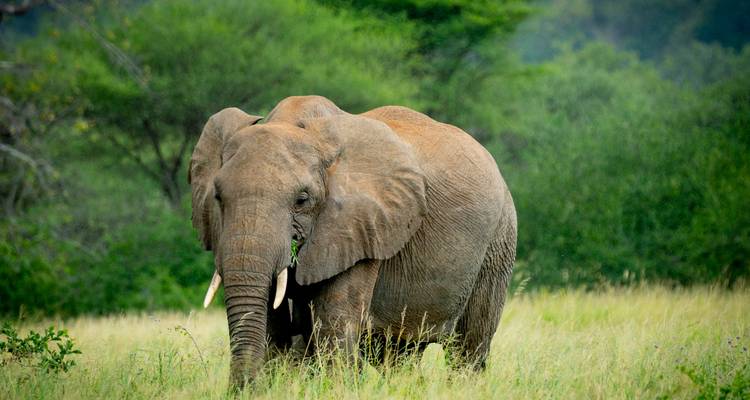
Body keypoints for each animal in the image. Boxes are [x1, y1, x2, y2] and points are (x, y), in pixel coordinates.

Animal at [189, 95, 517, 388]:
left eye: (302, 200)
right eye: (218, 197)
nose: (241, 389)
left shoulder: (362, 227)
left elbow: (334, 323)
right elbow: (271, 323)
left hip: (498, 241)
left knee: (468, 347)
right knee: (398, 355)